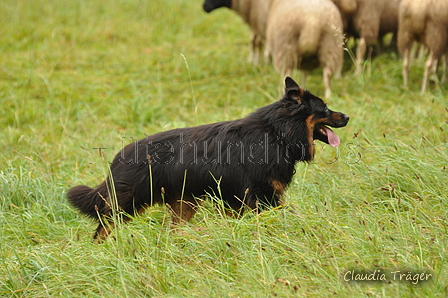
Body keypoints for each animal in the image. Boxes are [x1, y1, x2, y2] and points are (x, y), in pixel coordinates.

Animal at [67, 76, 346, 240]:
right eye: (325, 109)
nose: (347, 116)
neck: (277, 132)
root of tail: (117, 159)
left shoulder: (240, 199)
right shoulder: (261, 197)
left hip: (183, 204)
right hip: (127, 204)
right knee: (103, 228)